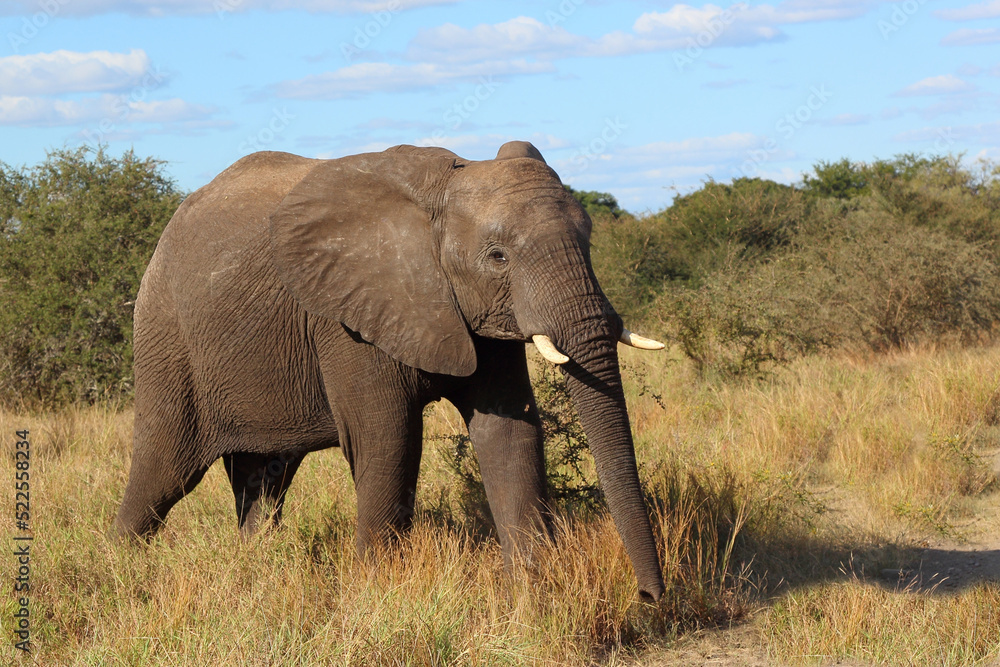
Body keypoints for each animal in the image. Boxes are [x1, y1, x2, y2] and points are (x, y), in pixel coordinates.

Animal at [113, 140, 668, 600]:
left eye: (589, 240)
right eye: (497, 257)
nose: (649, 596)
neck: (443, 190)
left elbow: (509, 431)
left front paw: (533, 589)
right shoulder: (344, 318)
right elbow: (388, 439)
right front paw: (380, 590)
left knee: (264, 479)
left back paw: (254, 569)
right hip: (168, 340)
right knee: (163, 473)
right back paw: (123, 571)